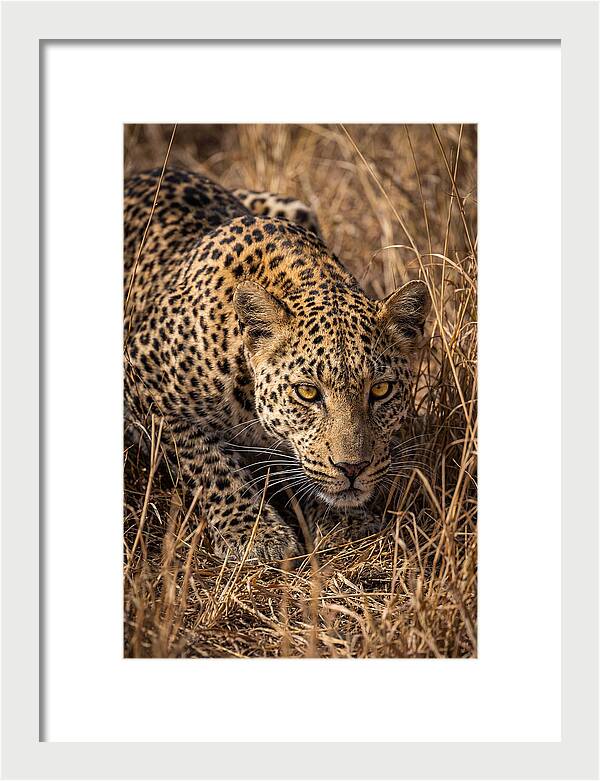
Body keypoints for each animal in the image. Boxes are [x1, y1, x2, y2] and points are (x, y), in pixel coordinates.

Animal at [124, 167, 430, 562]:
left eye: (380, 390)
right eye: (307, 393)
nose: (352, 468)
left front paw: (345, 522)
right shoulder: (141, 379)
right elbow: (207, 461)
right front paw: (253, 532)